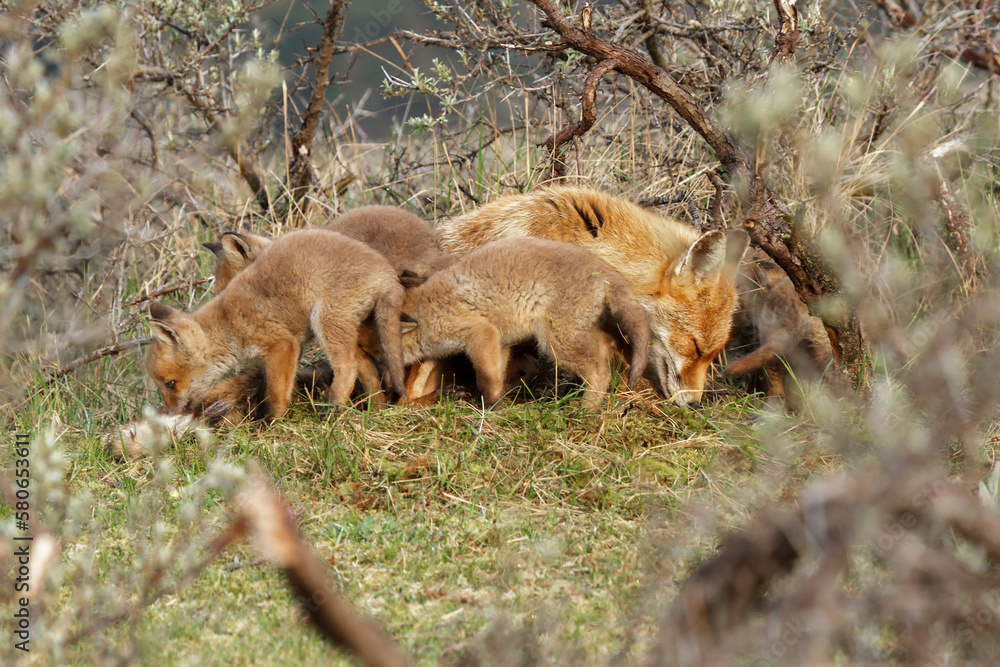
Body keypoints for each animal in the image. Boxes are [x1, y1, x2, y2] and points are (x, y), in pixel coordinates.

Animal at [146, 229, 407, 420]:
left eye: (170, 384)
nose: (168, 413)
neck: (228, 325)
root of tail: (387, 272)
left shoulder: (281, 344)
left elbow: (275, 393)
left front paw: (272, 425)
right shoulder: (293, 347)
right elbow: (274, 388)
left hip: (325, 320)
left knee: (348, 366)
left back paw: (331, 413)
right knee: (365, 368)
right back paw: (376, 410)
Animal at [384, 237, 651, 408]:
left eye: (381, 355)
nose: (386, 392)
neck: (427, 310)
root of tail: (605, 271)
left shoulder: (480, 334)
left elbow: (485, 381)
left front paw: (489, 408)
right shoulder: (499, 343)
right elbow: (498, 377)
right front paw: (499, 401)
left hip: (556, 340)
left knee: (600, 370)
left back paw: (586, 411)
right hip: (577, 331)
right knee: (607, 347)